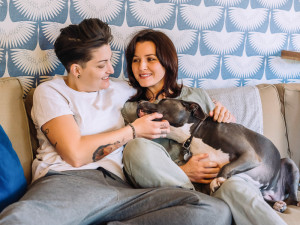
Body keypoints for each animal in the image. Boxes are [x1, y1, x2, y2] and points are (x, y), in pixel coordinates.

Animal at [137, 98, 300, 213]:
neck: (195, 134)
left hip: (289, 163)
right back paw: (277, 204)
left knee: (293, 198)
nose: (139, 102)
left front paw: (218, 180)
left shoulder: (250, 155)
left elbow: (226, 167)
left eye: (162, 100)